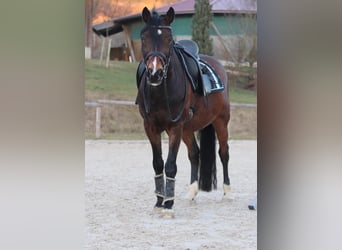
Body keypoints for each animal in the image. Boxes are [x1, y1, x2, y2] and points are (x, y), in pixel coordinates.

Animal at [136, 7, 230, 215]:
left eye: (169, 39)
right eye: (144, 37)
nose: (154, 73)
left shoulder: (174, 127)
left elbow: (170, 165)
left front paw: (168, 205)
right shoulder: (150, 127)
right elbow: (158, 163)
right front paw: (159, 201)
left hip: (221, 121)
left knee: (224, 153)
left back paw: (227, 192)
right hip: (188, 129)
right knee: (195, 154)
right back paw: (191, 192)